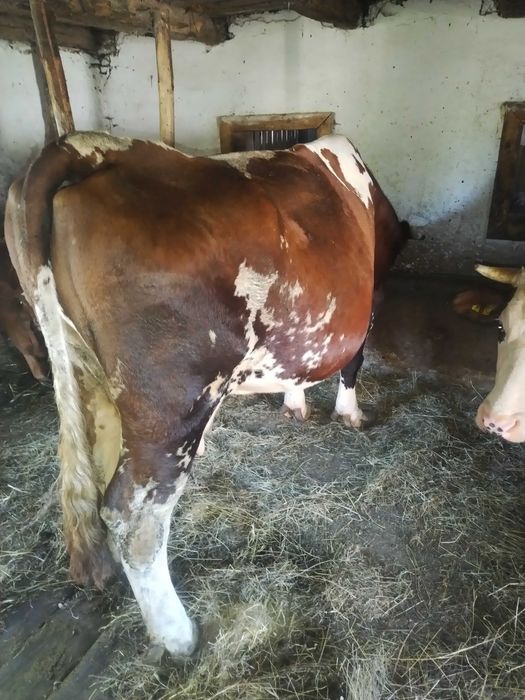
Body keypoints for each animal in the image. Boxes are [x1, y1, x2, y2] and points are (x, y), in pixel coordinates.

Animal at [5, 131, 409, 656]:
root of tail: (88, 147)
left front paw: (294, 406)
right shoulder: (372, 297)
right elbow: (354, 363)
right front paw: (350, 415)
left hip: (87, 376)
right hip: (172, 408)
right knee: (134, 517)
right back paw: (178, 634)